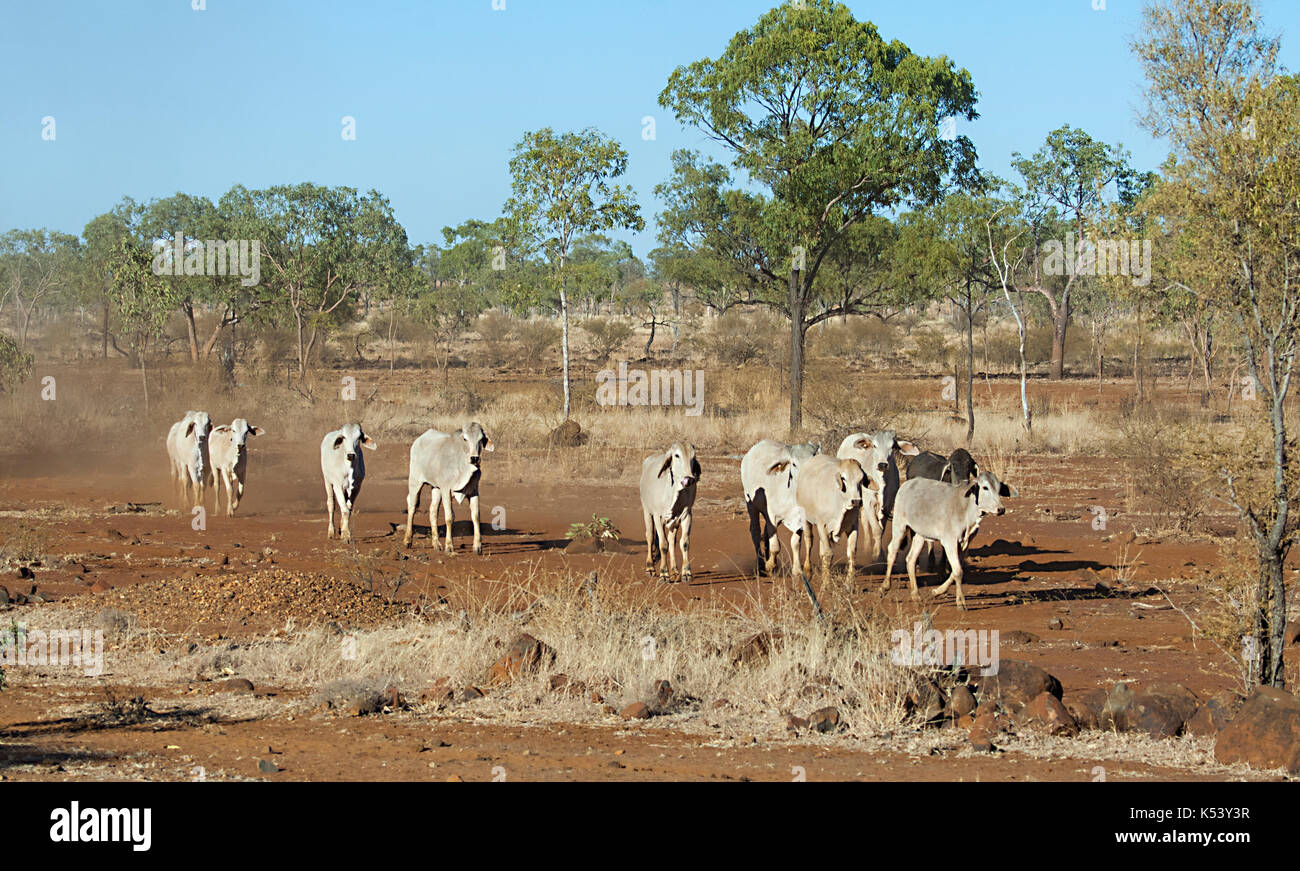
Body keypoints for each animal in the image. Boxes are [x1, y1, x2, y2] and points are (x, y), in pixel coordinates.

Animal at [403, 422, 494, 554]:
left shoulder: (474, 492)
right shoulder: (446, 490)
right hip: (415, 481)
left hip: (436, 488)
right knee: (412, 506)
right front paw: (449, 546)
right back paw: (408, 540)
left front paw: (477, 546)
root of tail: (418, 440)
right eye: (465, 439)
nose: (474, 458)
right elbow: (450, 517)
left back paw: (436, 544)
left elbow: (476, 516)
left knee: (433, 511)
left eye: (481, 439)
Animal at [639, 443, 700, 583]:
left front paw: (686, 573)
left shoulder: (687, 516)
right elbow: (663, 544)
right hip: (647, 511)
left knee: (672, 541)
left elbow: (684, 542)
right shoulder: (658, 516)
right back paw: (650, 567)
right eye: (676, 455)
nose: (689, 479)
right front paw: (664, 573)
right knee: (650, 536)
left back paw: (675, 571)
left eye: (693, 457)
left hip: (674, 522)